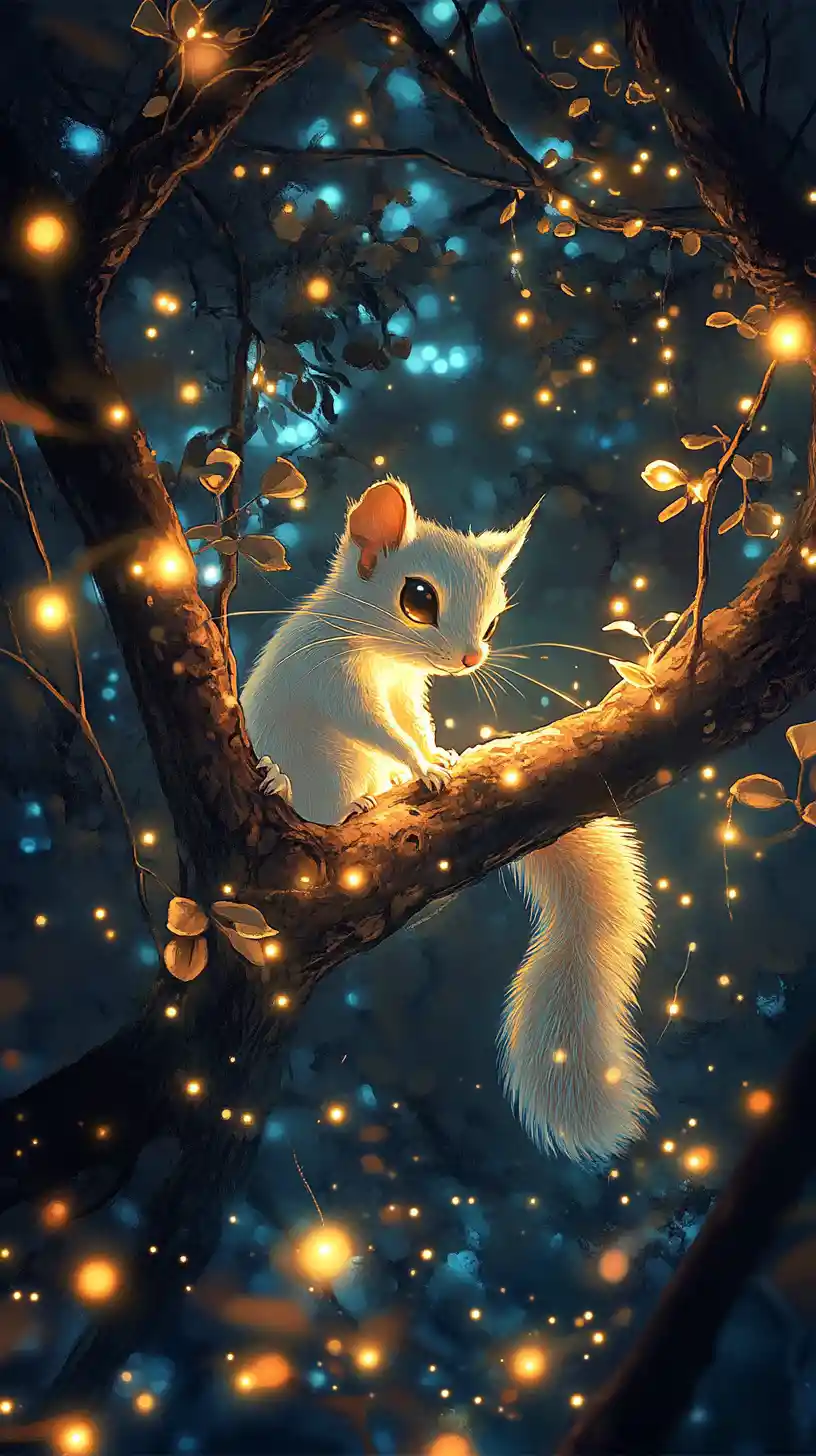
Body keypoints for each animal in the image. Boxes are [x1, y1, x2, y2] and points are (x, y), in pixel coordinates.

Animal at [241, 477, 654, 1163]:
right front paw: (422, 765)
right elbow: (371, 724)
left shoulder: (406, 691)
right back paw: (285, 780)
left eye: (493, 617)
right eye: (418, 600)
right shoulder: (332, 675)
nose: (469, 657)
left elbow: (412, 723)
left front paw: (437, 757)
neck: (379, 652)